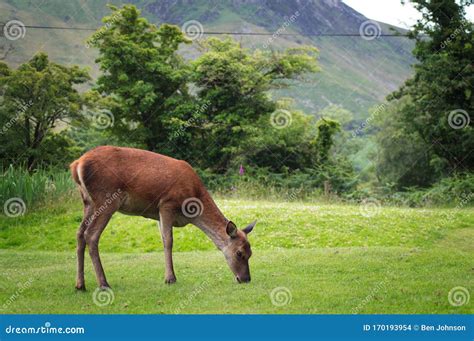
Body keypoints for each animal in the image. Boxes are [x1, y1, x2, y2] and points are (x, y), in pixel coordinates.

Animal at [69, 145, 256, 288]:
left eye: (251, 253)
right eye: (239, 253)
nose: (246, 279)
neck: (193, 207)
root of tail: (77, 164)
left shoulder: (158, 214)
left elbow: (163, 239)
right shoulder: (167, 203)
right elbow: (168, 241)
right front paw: (170, 278)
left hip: (88, 202)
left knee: (79, 233)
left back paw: (80, 284)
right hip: (106, 198)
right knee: (91, 234)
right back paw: (103, 283)